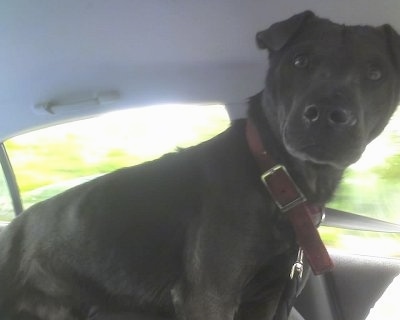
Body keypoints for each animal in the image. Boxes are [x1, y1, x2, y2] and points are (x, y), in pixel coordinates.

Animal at [0, 10, 400, 320]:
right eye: (300, 61)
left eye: (376, 74)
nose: (328, 114)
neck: (275, 179)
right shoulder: (209, 295)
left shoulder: (265, 296)